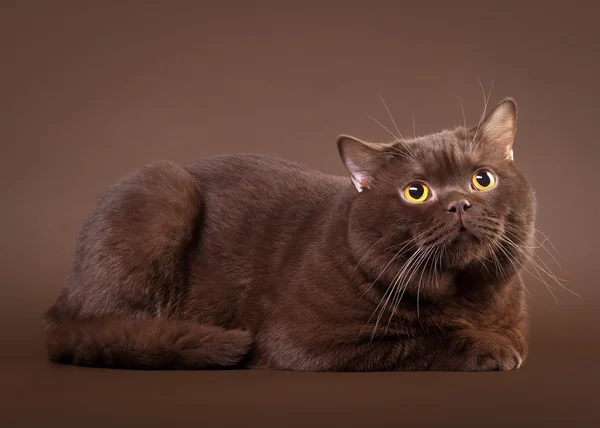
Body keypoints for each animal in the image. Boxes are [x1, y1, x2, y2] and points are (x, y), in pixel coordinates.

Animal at [44, 98, 536, 372]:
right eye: (416, 192)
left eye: (482, 180)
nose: (460, 203)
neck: (466, 296)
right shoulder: (304, 341)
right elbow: (416, 342)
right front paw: (490, 348)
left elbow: (508, 336)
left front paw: (503, 342)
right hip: (163, 191)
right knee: (110, 334)